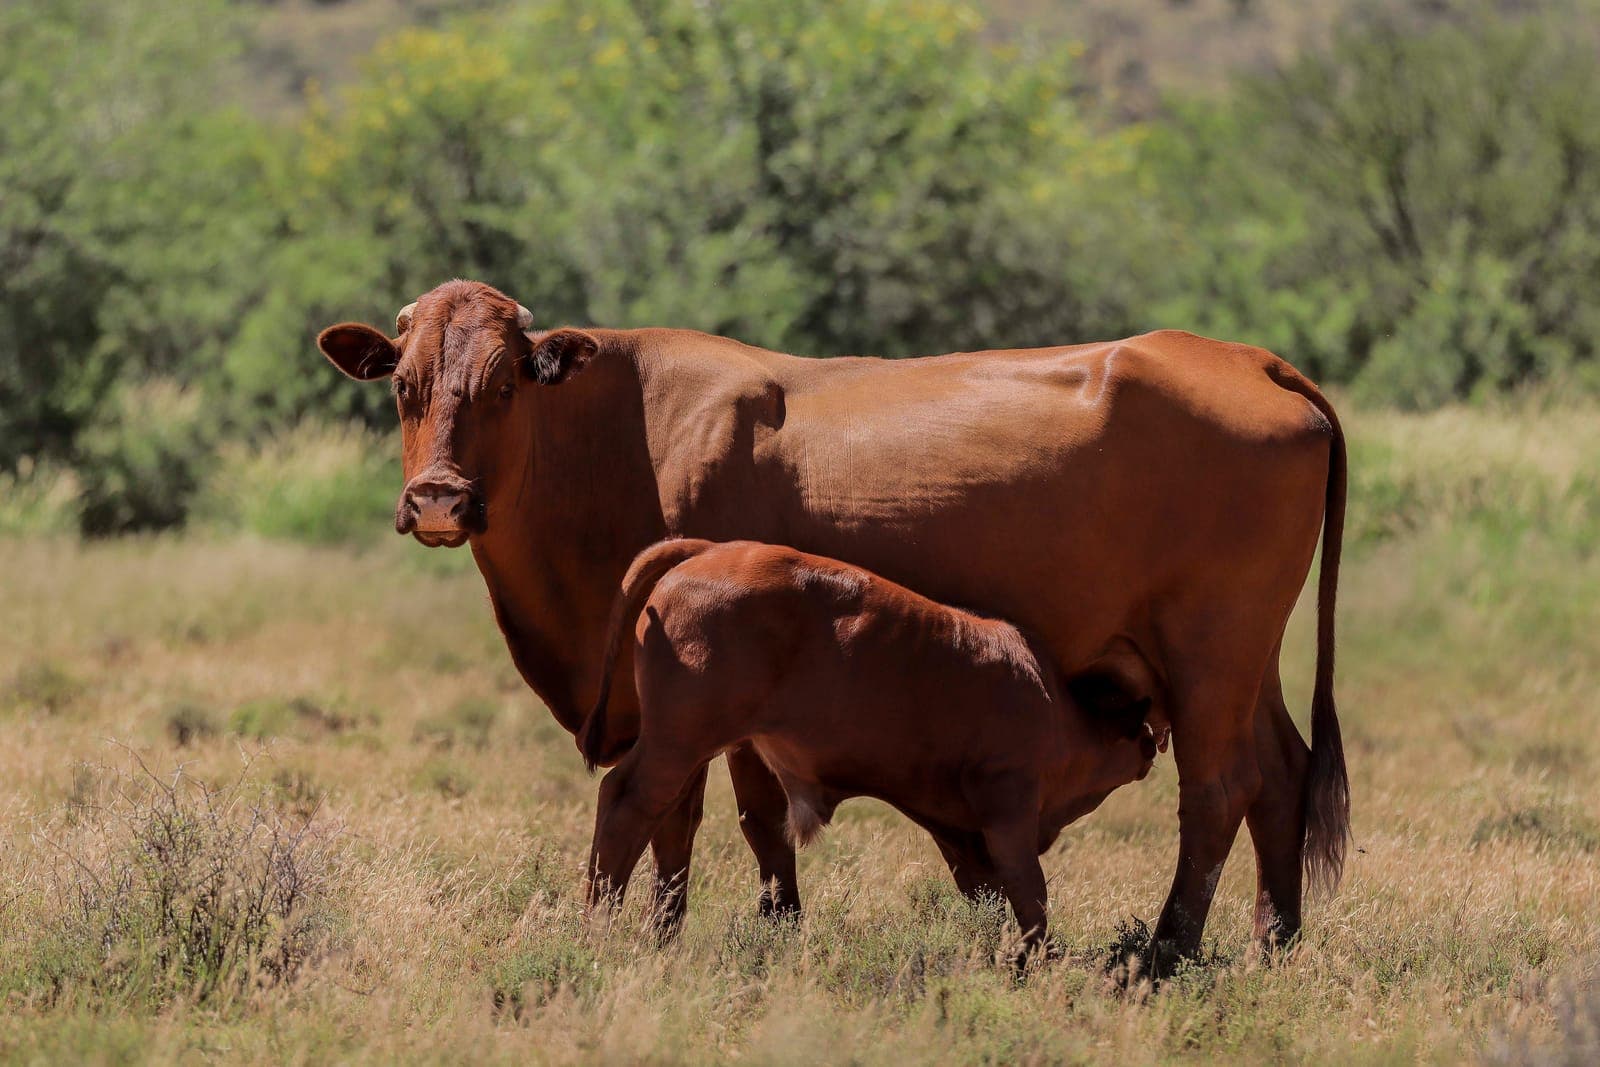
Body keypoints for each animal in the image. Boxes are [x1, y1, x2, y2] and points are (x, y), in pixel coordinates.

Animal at [577, 538, 1163, 963]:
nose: (1152, 747)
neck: (1050, 700)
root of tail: (711, 550)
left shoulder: (961, 830)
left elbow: (987, 891)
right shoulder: (1008, 806)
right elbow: (1029, 892)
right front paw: (1040, 960)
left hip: (688, 748)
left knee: (671, 818)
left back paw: (658, 936)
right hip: (676, 742)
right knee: (627, 803)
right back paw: (599, 930)